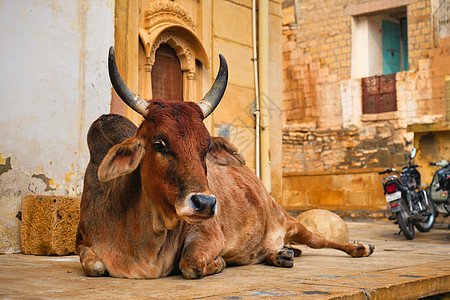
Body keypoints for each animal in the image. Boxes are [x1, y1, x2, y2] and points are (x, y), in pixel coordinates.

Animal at [76, 46, 372, 278]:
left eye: (206, 147)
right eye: (159, 144)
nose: (205, 203)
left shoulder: (206, 232)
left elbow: (191, 264)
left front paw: (219, 262)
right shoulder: (83, 242)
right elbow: (96, 266)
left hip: (289, 220)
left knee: (319, 240)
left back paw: (359, 247)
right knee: (274, 250)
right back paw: (282, 254)